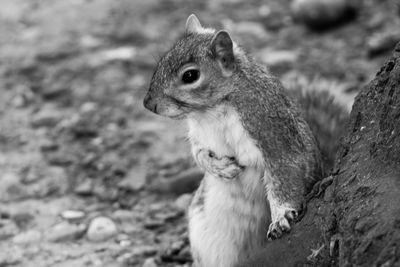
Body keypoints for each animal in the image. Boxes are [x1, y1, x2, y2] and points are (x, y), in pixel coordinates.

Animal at [143, 14, 346, 267]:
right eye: (161, 61)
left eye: (190, 75)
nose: (148, 103)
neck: (212, 111)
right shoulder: (200, 136)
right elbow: (199, 155)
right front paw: (220, 168)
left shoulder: (272, 132)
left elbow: (285, 174)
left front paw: (281, 216)